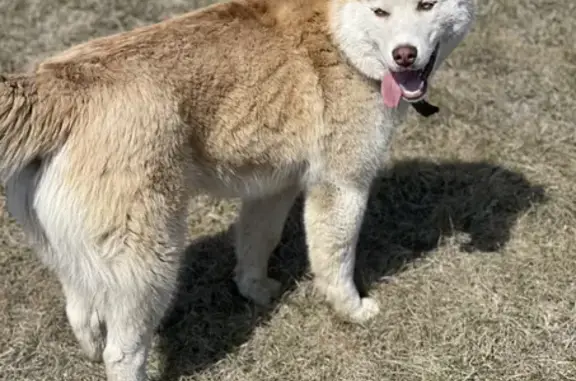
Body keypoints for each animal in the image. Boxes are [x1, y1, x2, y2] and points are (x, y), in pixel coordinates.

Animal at [0, 1, 474, 378]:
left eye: (427, 4)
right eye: (380, 12)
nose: (404, 55)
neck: (341, 42)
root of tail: (52, 84)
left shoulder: (272, 187)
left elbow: (256, 243)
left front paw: (256, 291)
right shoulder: (342, 186)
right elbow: (336, 262)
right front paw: (353, 310)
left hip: (73, 251)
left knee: (79, 311)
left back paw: (89, 347)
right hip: (149, 263)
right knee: (123, 352)